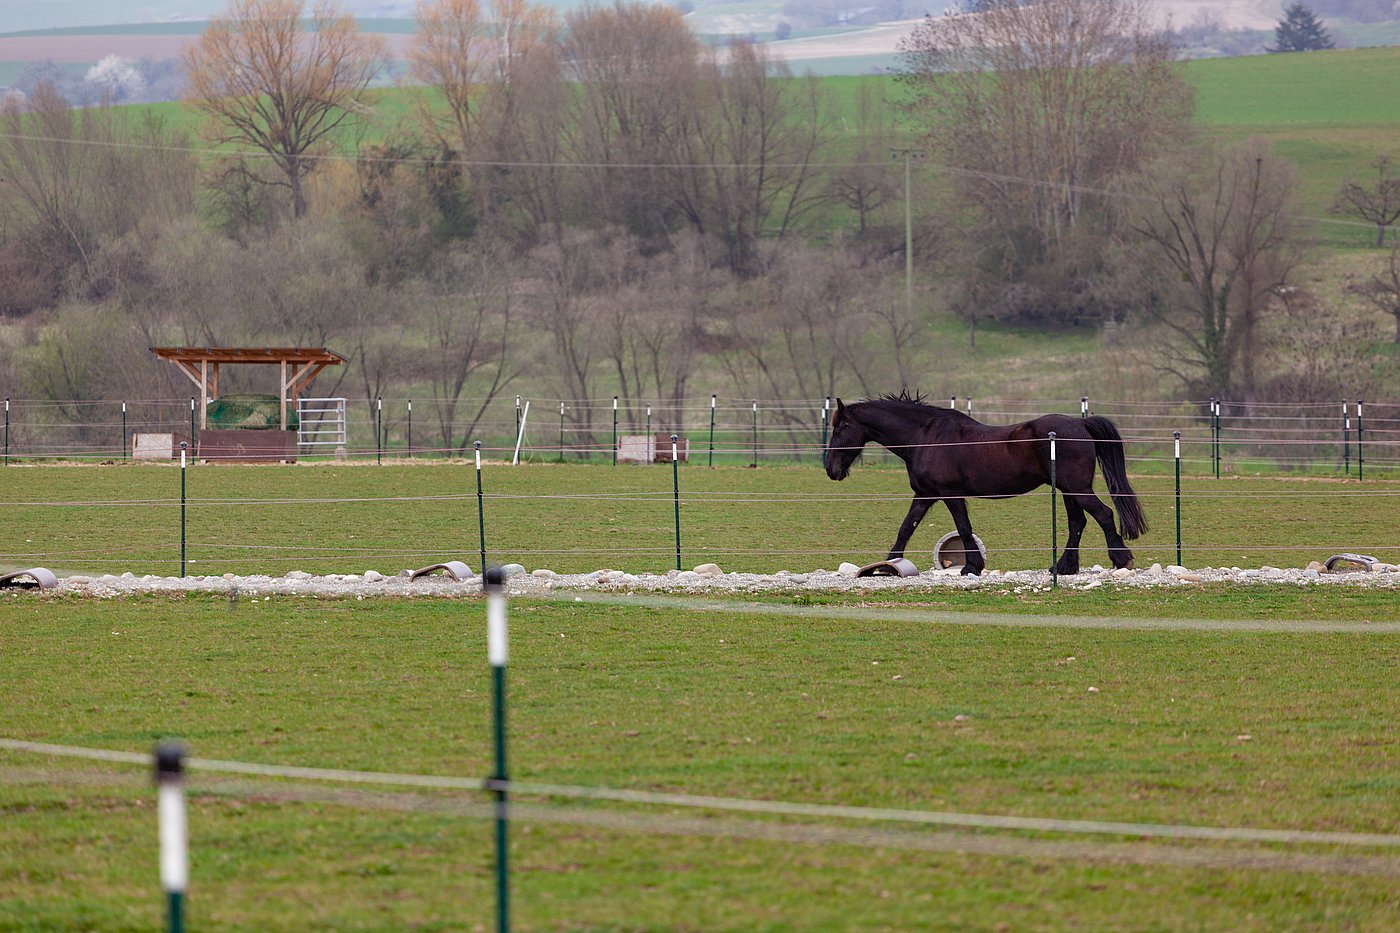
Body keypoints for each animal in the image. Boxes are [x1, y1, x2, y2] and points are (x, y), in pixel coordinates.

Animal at [824, 393, 1147, 575]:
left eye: (841, 428)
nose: (831, 469)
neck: (926, 437)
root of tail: (1080, 423)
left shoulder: (950, 494)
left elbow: (964, 527)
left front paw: (972, 566)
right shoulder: (925, 495)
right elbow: (906, 528)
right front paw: (888, 565)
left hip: (1077, 488)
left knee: (1103, 514)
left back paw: (1121, 560)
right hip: (1068, 490)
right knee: (1077, 523)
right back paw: (1064, 568)